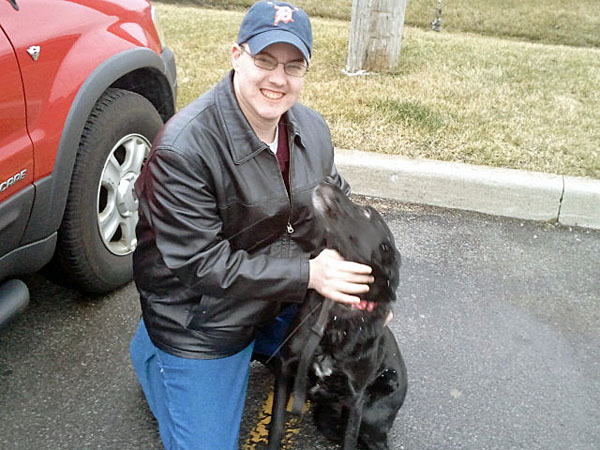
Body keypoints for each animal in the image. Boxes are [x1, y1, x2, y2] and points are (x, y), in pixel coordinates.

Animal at [268, 182, 407, 450]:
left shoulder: (355, 400)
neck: (336, 314)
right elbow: (276, 428)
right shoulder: (286, 371)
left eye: (367, 213)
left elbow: (349, 441)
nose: (327, 182)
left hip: (371, 417)